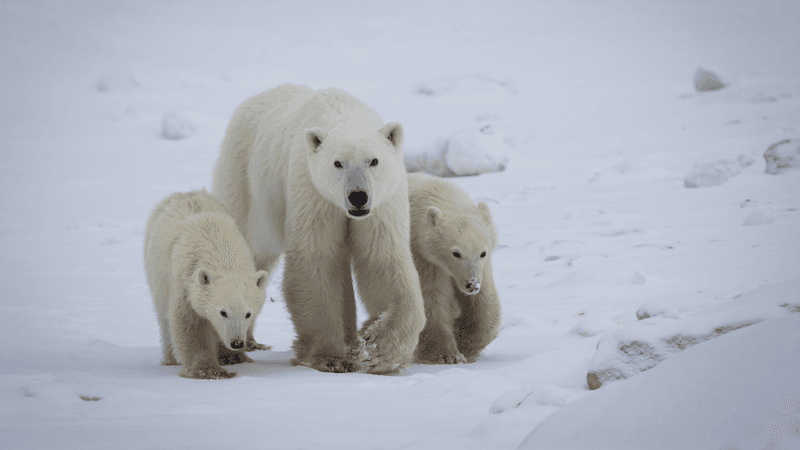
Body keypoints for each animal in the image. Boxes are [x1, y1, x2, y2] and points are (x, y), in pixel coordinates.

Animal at [144, 189, 270, 379]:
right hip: (156, 275)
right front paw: (208, 370)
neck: (221, 250)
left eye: (248, 314)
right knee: (164, 318)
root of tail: (185, 193)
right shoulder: (185, 284)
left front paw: (232, 358)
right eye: (223, 312)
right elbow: (189, 324)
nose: (237, 343)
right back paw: (171, 359)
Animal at [212, 84, 426, 374]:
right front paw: (331, 358)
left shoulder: (382, 204)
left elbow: (381, 260)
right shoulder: (313, 193)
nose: (358, 196)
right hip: (245, 182)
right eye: (338, 163)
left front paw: (381, 349)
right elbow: (316, 261)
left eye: (374, 161)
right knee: (248, 251)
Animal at [407, 172, 501, 364]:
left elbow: (485, 302)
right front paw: (447, 355)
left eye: (483, 253)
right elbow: (432, 298)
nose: (471, 285)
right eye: (456, 253)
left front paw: (467, 342)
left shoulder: (483, 268)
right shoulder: (424, 257)